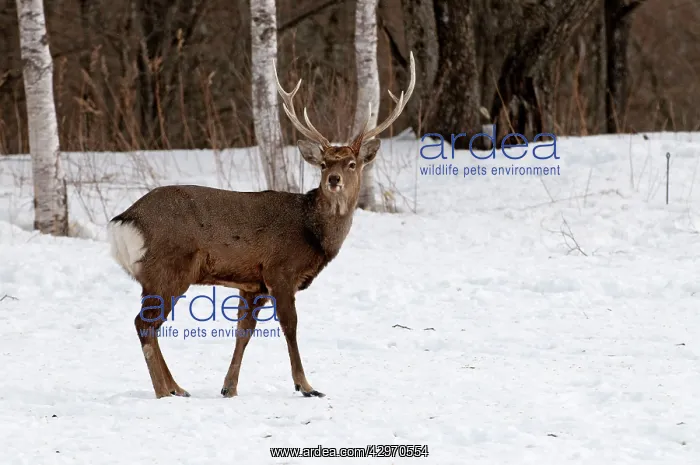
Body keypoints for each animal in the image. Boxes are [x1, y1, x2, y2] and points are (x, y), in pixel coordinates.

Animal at [107, 52, 415, 399]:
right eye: (324, 164)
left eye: (351, 163)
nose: (333, 179)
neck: (314, 232)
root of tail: (123, 221)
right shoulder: (279, 269)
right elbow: (290, 327)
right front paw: (306, 385)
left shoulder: (253, 284)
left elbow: (244, 332)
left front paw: (229, 387)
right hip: (167, 268)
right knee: (144, 324)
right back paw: (163, 391)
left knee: (149, 325)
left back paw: (178, 387)